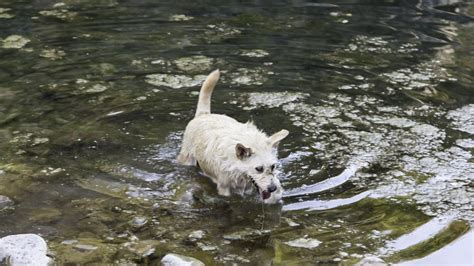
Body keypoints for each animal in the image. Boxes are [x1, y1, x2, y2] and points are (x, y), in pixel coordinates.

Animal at [178, 69, 288, 204]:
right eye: (258, 169)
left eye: (273, 166)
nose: (272, 188)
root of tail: (203, 114)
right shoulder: (224, 187)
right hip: (187, 158)